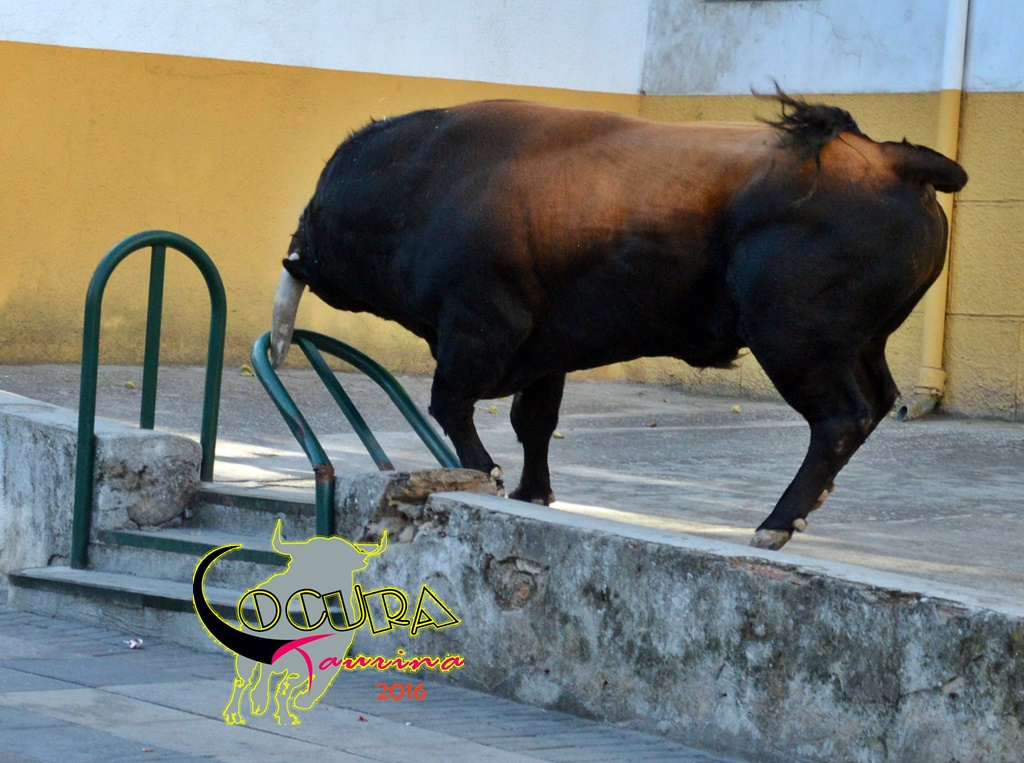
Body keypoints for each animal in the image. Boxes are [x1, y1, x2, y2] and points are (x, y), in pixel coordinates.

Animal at [270, 92, 967, 550]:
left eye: (321, 215)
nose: (296, 247)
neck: (422, 180)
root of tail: (892, 160)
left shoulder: (476, 328)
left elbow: (453, 406)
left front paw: (490, 478)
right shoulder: (542, 352)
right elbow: (533, 423)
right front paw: (532, 494)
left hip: (796, 344)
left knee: (840, 418)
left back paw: (774, 524)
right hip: (860, 345)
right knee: (877, 403)